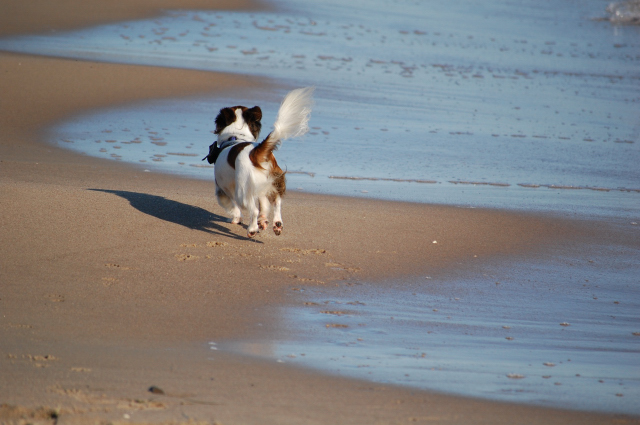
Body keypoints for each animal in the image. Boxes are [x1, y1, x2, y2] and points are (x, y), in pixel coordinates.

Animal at [204, 86, 314, 237]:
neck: (236, 137)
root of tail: (255, 153)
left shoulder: (222, 191)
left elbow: (233, 207)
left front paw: (236, 219)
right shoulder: (261, 188)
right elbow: (265, 205)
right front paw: (263, 221)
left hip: (242, 191)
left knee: (253, 209)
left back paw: (252, 229)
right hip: (273, 180)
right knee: (277, 202)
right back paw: (276, 224)